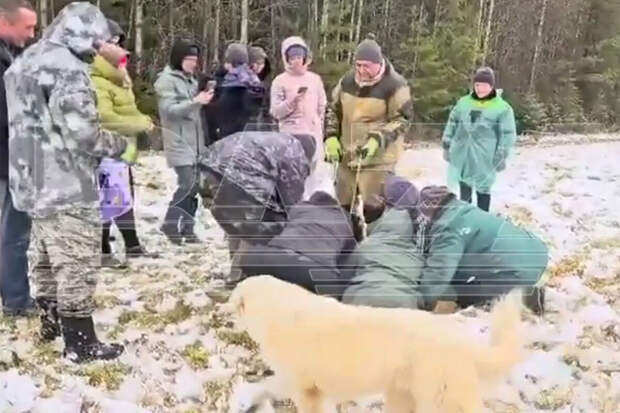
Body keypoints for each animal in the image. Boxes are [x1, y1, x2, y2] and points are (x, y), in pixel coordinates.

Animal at [223, 274, 524, 412]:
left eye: (233, 304)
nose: (222, 315)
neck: (278, 312)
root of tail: (460, 341)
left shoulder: (304, 388)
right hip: (403, 398)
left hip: (442, 402)